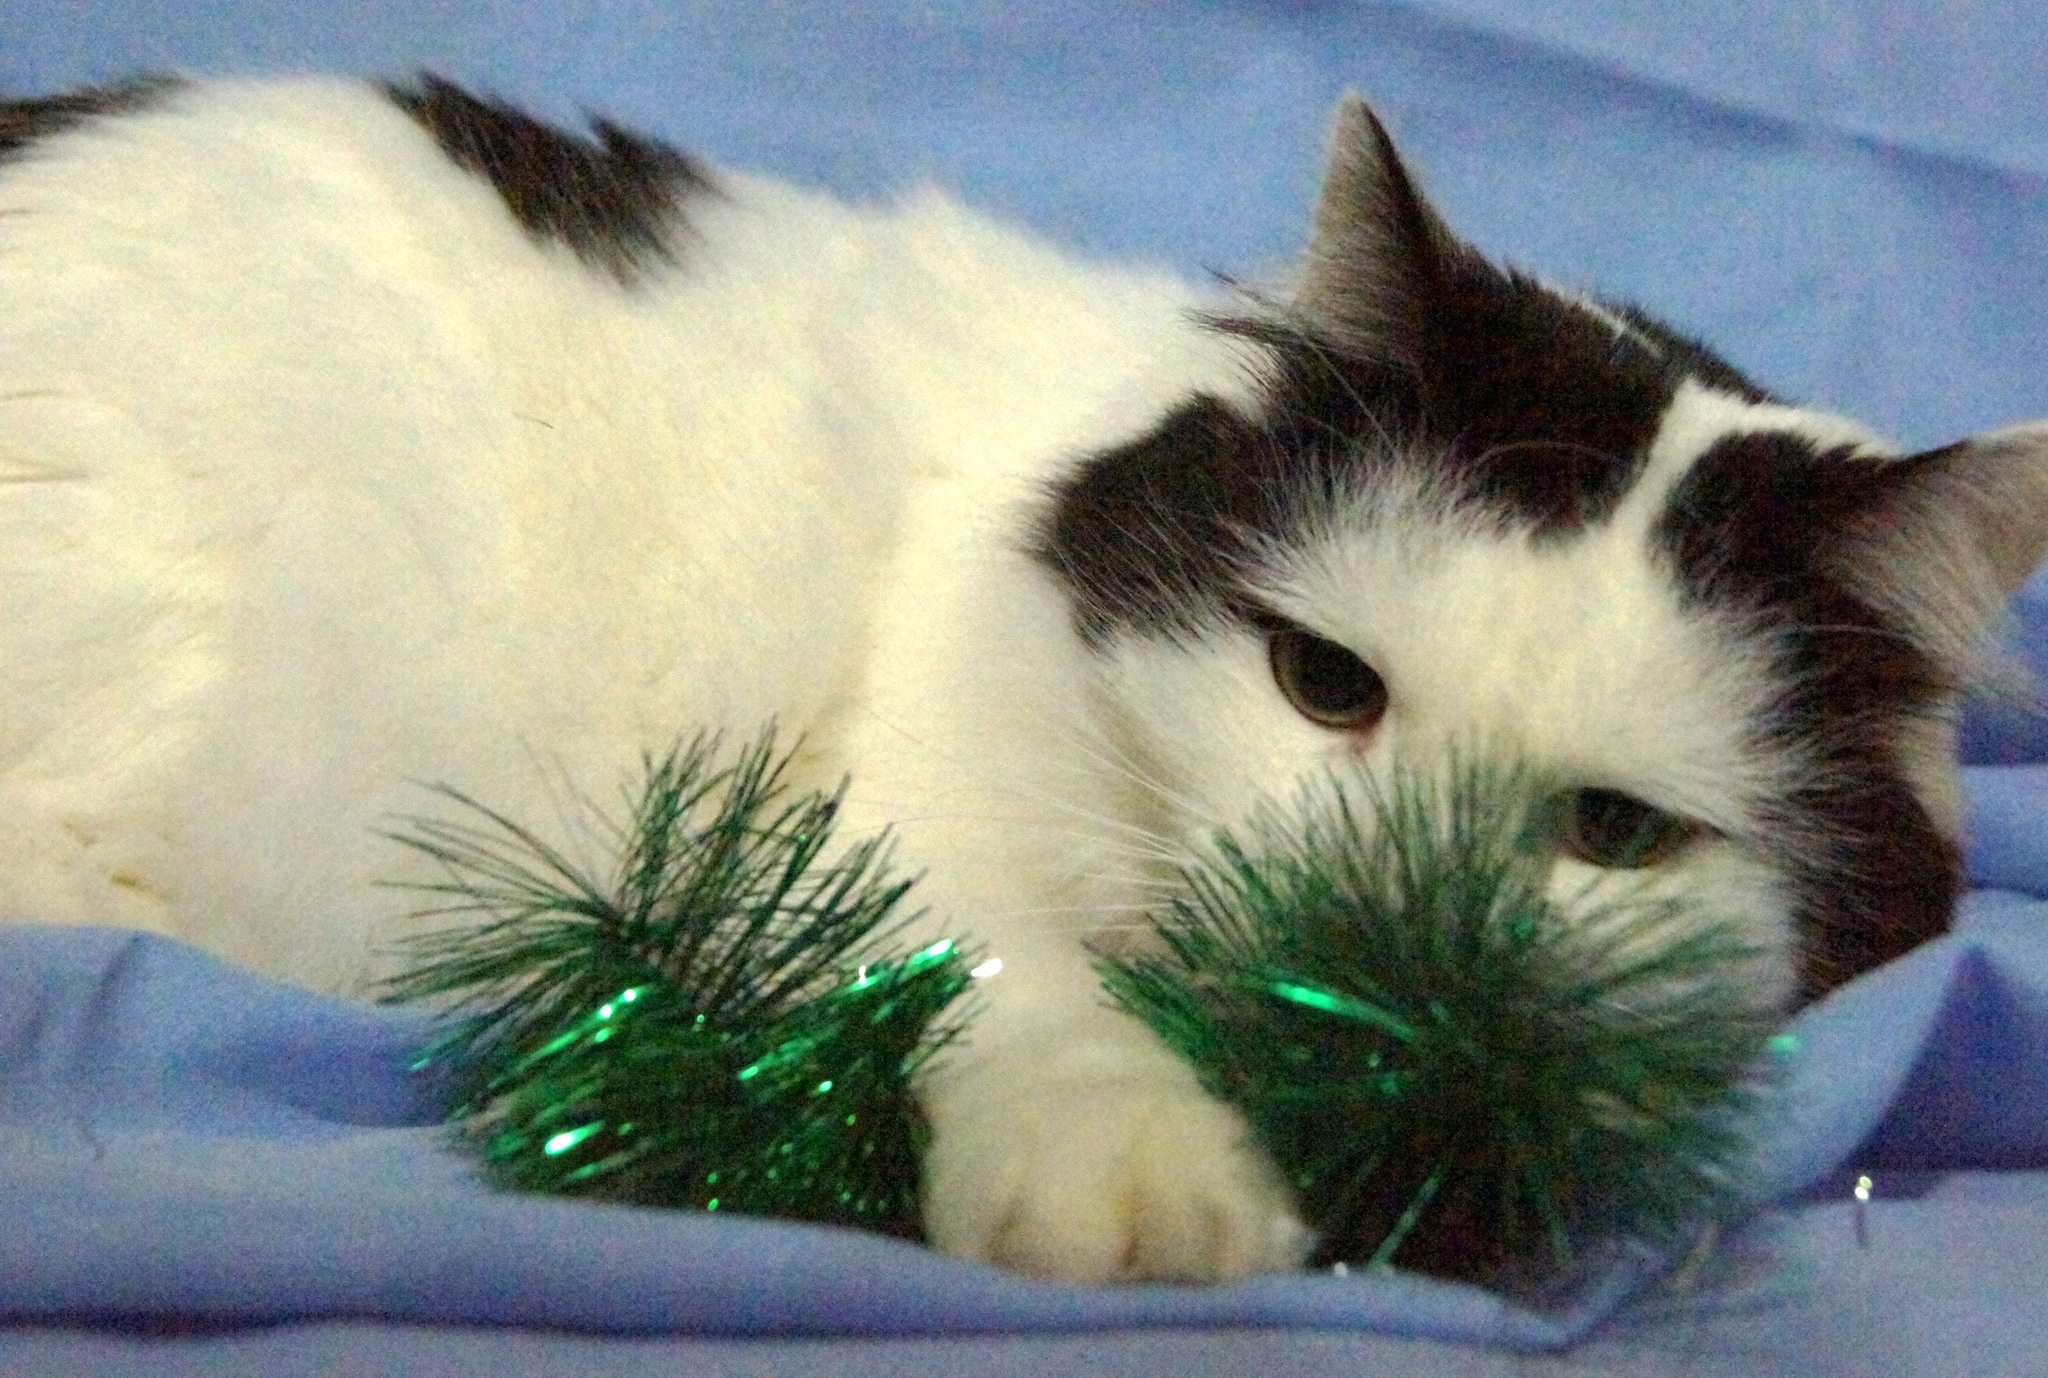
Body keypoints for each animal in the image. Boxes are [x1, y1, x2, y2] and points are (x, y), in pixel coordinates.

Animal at [4, 72, 2048, 1277]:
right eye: (1325, 683)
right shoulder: (849, 822)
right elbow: (1020, 983)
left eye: (1610, 835)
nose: (1365, 945)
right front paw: (1140, 1177)